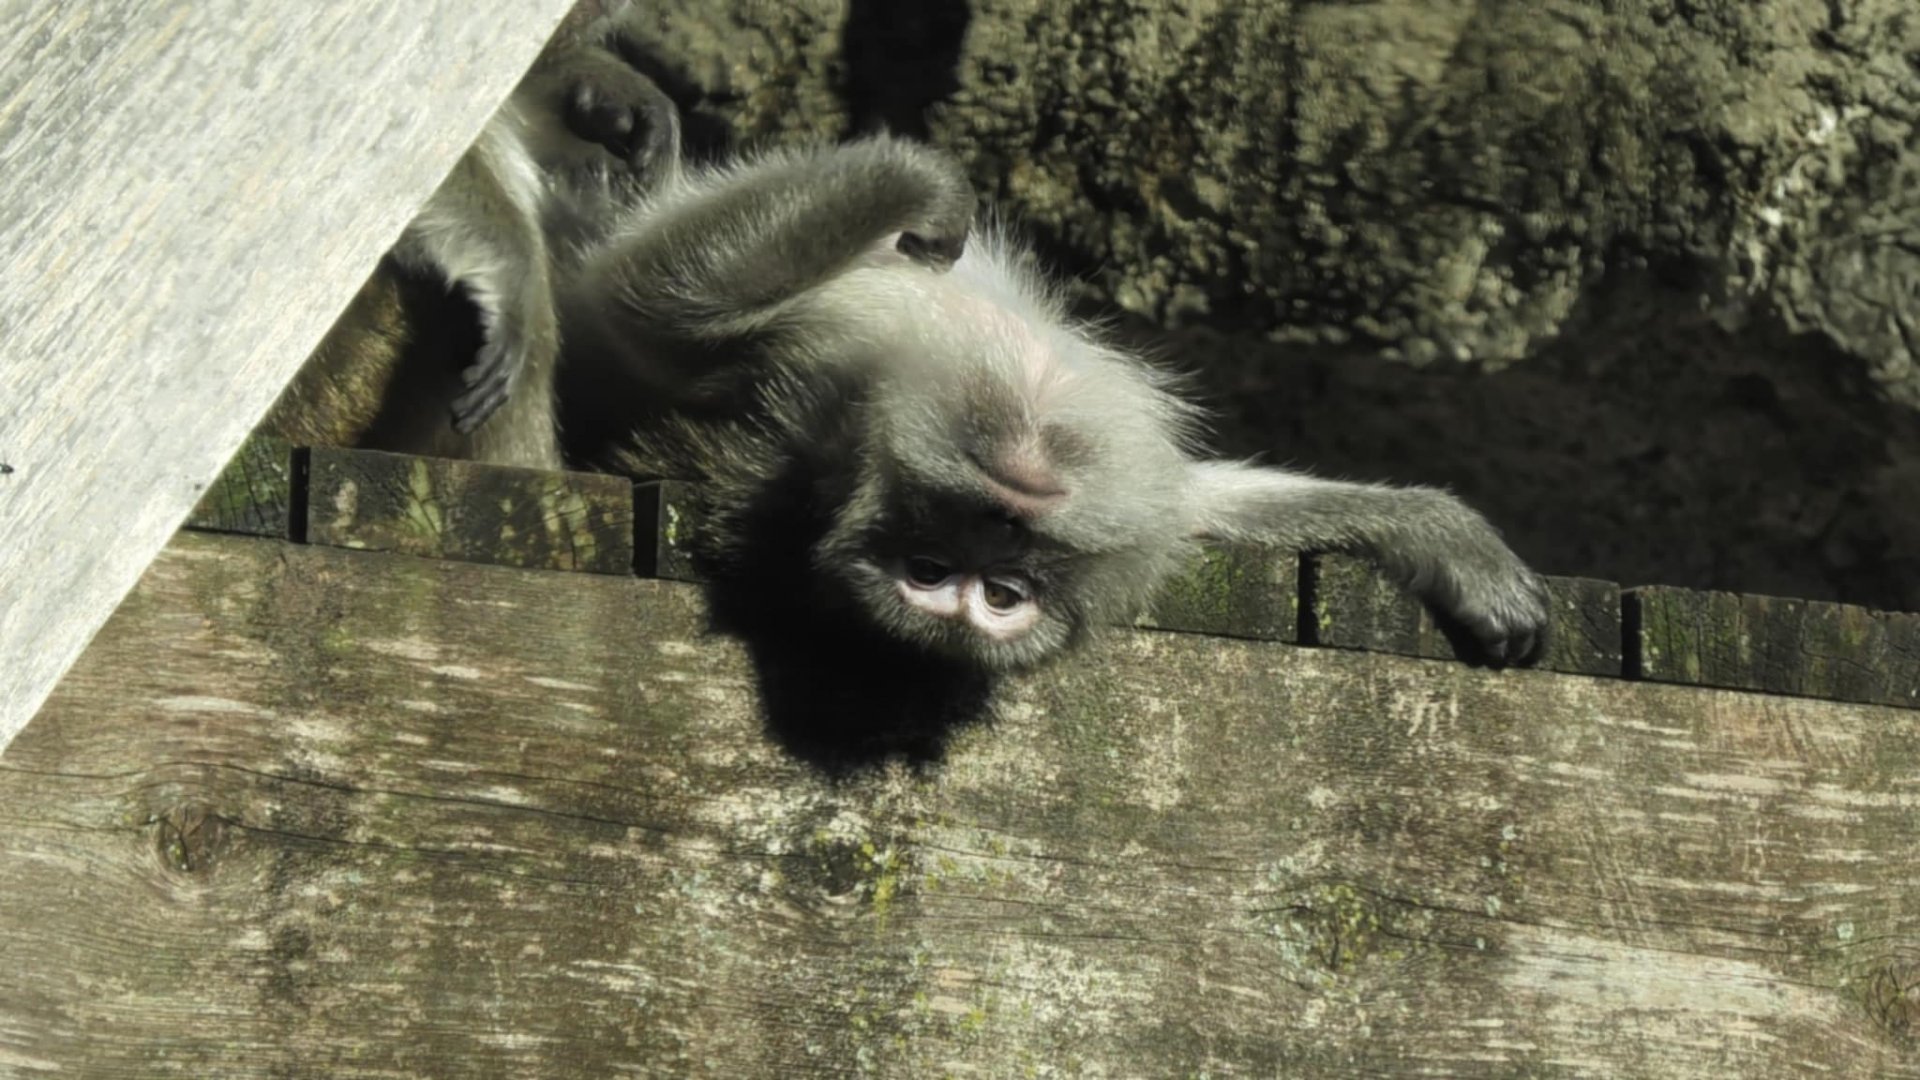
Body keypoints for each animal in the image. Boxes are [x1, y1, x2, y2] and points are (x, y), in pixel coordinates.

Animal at [553, 130, 1550, 673]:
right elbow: (657, 302)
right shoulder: (791, 392)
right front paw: (920, 184)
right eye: (932, 571)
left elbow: (1207, 501)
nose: (1008, 512)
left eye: (1002, 594)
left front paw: (1438, 534)